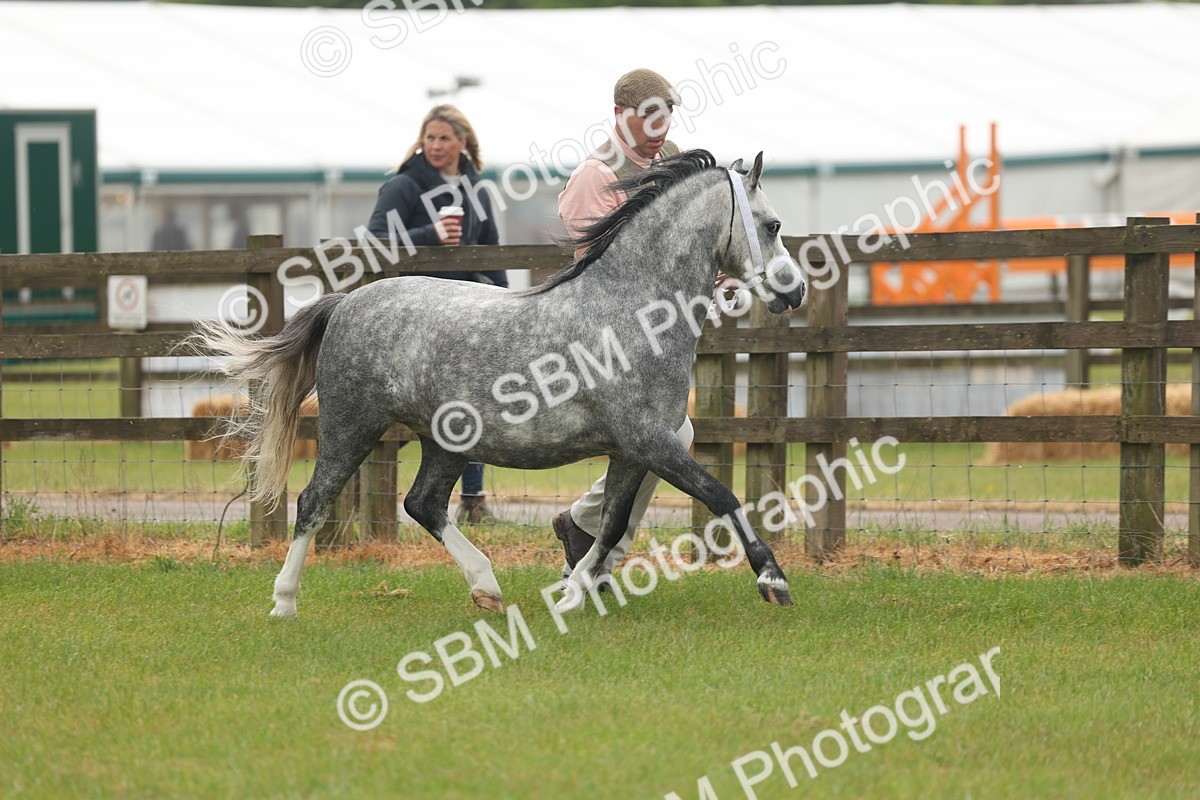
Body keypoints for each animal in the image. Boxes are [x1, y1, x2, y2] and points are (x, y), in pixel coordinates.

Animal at [193, 149, 806, 618]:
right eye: (773, 225)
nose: (795, 290)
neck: (629, 312)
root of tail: (346, 302)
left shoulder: (634, 451)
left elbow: (611, 526)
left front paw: (572, 594)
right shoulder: (651, 441)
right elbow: (722, 496)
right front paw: (773, 581)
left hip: (444, 441)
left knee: (423, 504)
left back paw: (486, 587)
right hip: (352, 425)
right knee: (314, 500)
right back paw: (284, 603)